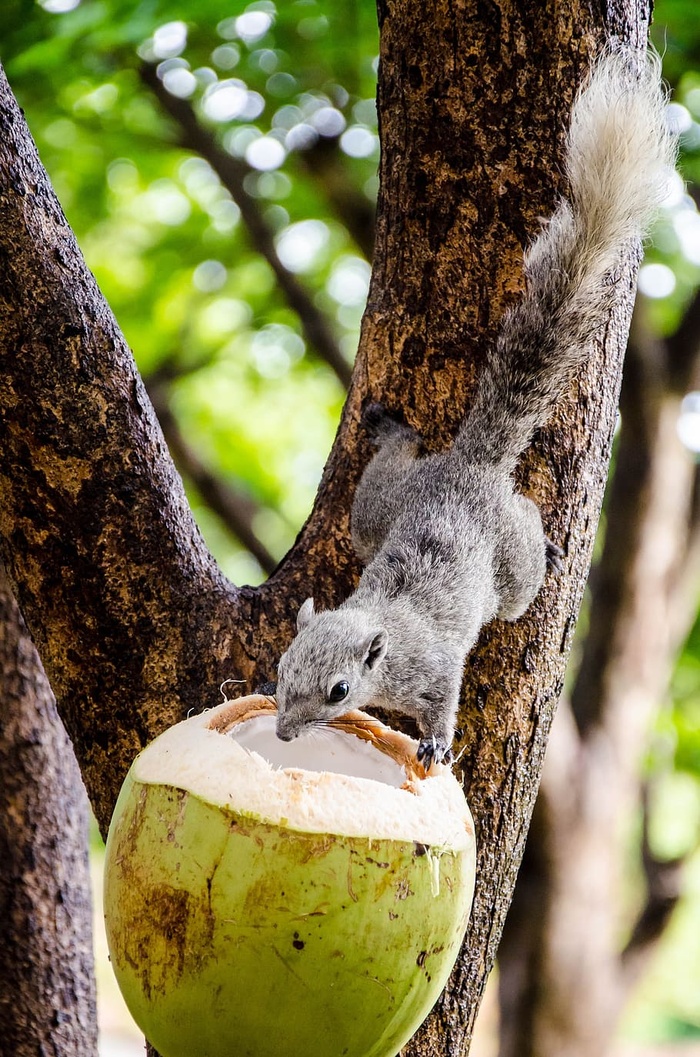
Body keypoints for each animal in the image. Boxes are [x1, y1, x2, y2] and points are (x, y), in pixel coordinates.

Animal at [269, 49, 676, 765]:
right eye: (283, 666)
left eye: (339, 691)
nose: (285, 732)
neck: (386, 636)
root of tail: (469, 466)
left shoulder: (435, 670)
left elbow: (443, 703)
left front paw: (434, 744)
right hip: (377, 514)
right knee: (390, 475)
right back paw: (393, 431)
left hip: (508, 565)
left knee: (520, 575)